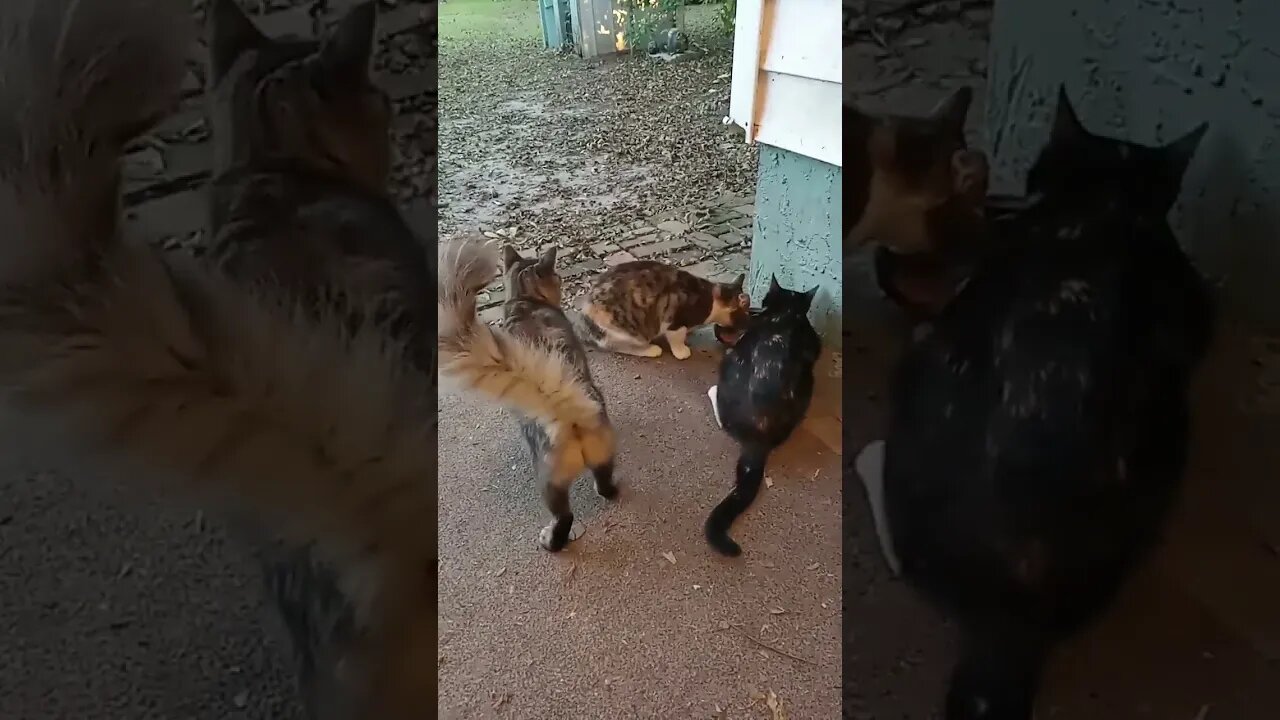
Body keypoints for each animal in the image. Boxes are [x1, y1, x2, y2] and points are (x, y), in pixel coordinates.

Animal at [440, 239, 619, 548]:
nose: (560, 279)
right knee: (604, 481)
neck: (527, 298)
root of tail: (567, 412)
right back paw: (609, 488)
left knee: (564, 515)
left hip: (548, 478)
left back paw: (552, 541)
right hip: (602, 449)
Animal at [581, 258, 747, 356]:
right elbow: (676, 337)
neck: (710, 299)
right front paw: (681, 351)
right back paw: (651, 350)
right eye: (745, 314)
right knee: (613, 345)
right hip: (623, 329)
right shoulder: (675, 318)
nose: (747, 324)